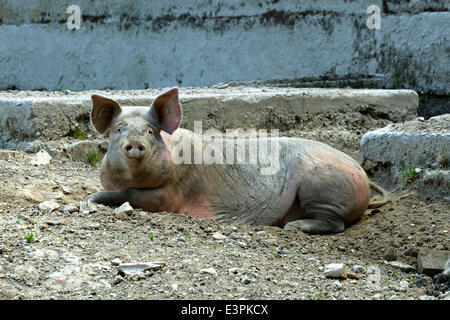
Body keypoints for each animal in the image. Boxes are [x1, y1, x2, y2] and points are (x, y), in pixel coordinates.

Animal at [84, 87, 386, 235]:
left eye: (150, 131)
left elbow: (131, 194)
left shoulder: (175, 193)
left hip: (321, 183)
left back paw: (293, 227)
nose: (135, 142)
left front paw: (89, 201)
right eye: (118, 129)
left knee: (336, 223)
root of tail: (361, 172)